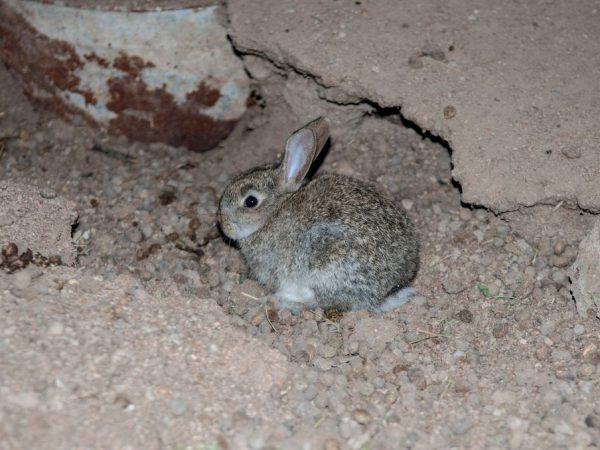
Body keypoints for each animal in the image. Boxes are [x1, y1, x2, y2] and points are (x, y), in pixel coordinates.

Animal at [218, 117, 420, 312]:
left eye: (251, 201)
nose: (222, 223)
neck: (273, 212)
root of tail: (388, 292)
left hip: (324, 265)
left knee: (325, 302)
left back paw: (283, 302)